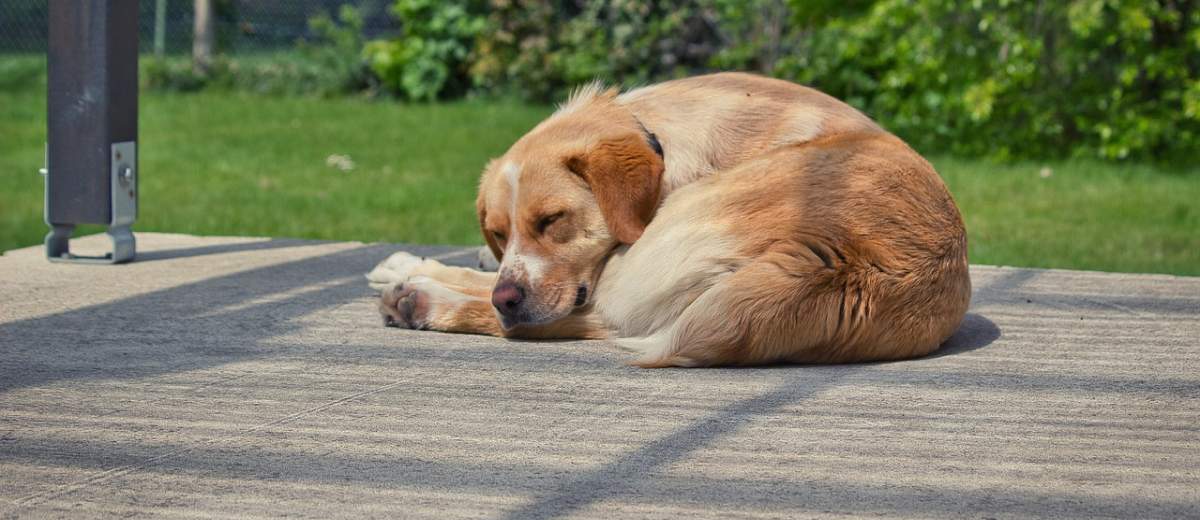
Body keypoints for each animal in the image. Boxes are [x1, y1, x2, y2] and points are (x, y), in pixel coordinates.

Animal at [369, 70, 969, 367]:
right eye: (498, 231)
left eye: (553, 220)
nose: (509, 297)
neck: (654, 129)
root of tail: (848, 264)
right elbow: (493, 269)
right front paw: (416, 261)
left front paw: (416, 272)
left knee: (564, 323)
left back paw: (420, 300)